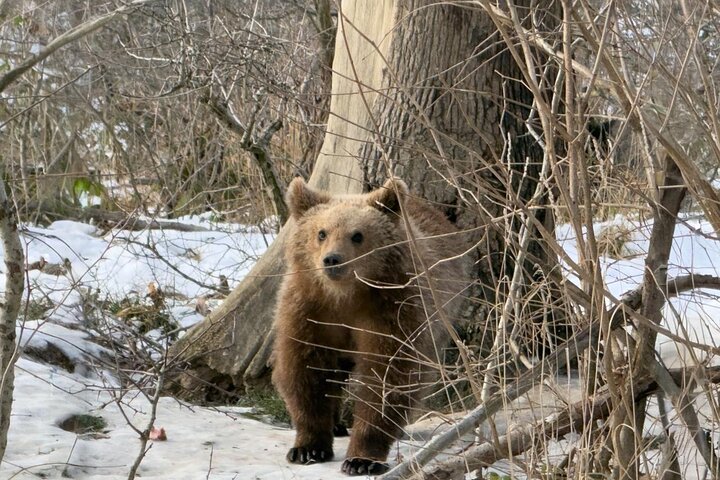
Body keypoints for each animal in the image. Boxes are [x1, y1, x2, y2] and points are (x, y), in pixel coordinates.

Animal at [271, 177, 470, 476]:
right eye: (321, 232)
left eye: (357, 235)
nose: (332, 260)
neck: (346, 295)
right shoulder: (309, 309)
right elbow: (305, 370)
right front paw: (308, 447)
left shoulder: (393, 311)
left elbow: (387, 376)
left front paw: (362, 459)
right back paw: (337, 424)